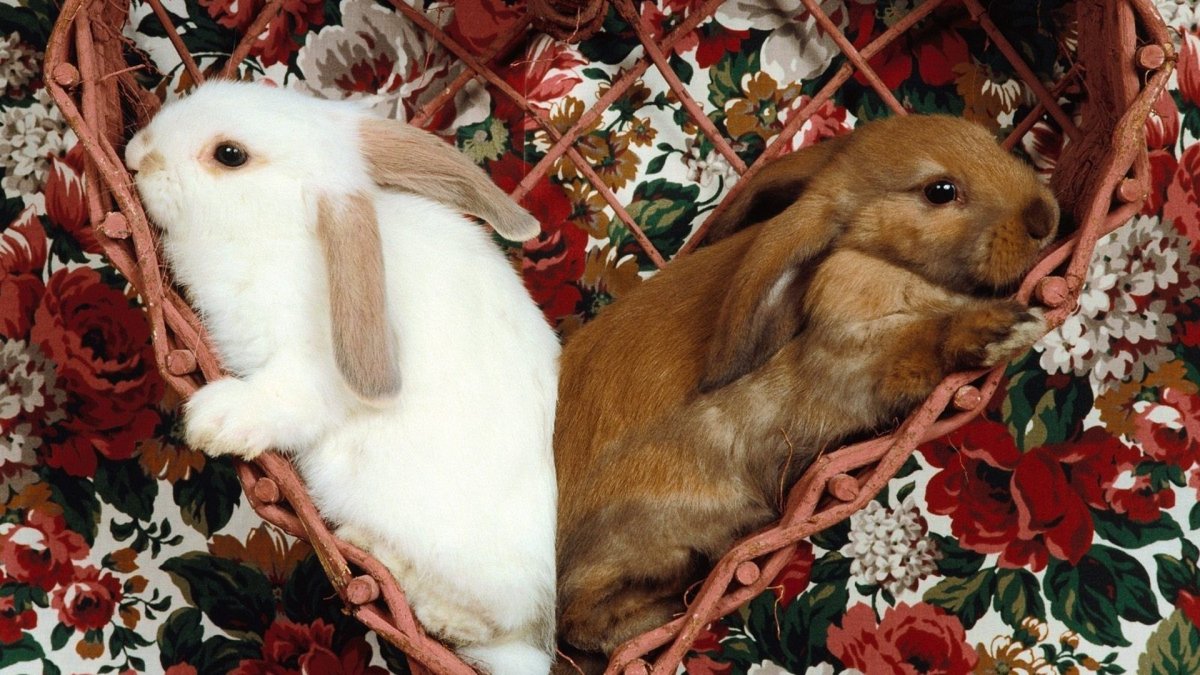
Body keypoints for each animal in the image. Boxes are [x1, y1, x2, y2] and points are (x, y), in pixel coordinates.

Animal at [124, 80, 561, 675]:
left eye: (230, 155)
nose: (136, 154)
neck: (281, 232)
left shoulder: (309, 371)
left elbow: (279, 398)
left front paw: (212, 421)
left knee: (482, 624)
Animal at [553, 114, 1059, 658]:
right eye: (940, 191)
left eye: (985, 138)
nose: (1044, 217)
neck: (871, 259)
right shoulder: (861, 363)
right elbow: (923, 341)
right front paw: (1004, 328)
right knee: (580, 620)